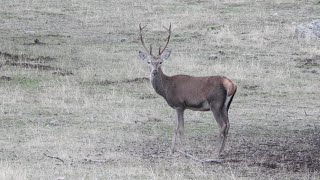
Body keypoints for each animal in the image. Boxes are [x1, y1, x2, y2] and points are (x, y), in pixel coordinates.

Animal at [138, 23, 238, 160]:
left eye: (160, 62)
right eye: (148, 62)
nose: (154, 71)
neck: (166, 88)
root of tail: (231, 84)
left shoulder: (180, 105)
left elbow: (181, 128)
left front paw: (184, 151)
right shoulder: (176, 107)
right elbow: (174, 127)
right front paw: (171, 150)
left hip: (215, 103)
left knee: (222, 125)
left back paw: (215, 153)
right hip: (225, 106)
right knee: (228, 125)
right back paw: (221, 151)